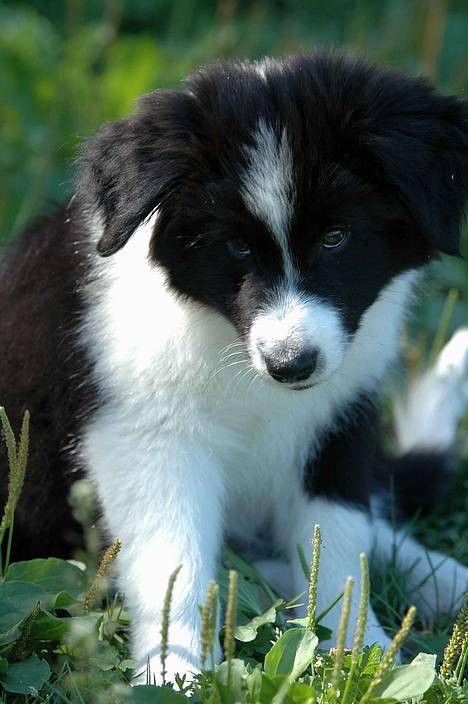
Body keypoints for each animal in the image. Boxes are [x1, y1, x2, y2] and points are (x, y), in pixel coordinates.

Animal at [0, 53, 468, 680]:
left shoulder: (341, 414)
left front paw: (358, 651)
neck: (226, 340)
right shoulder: (147, 437)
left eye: (337, 238)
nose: (292, 364)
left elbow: (340, 536)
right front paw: (176, 672)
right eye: (236, 247)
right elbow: (174, 560)